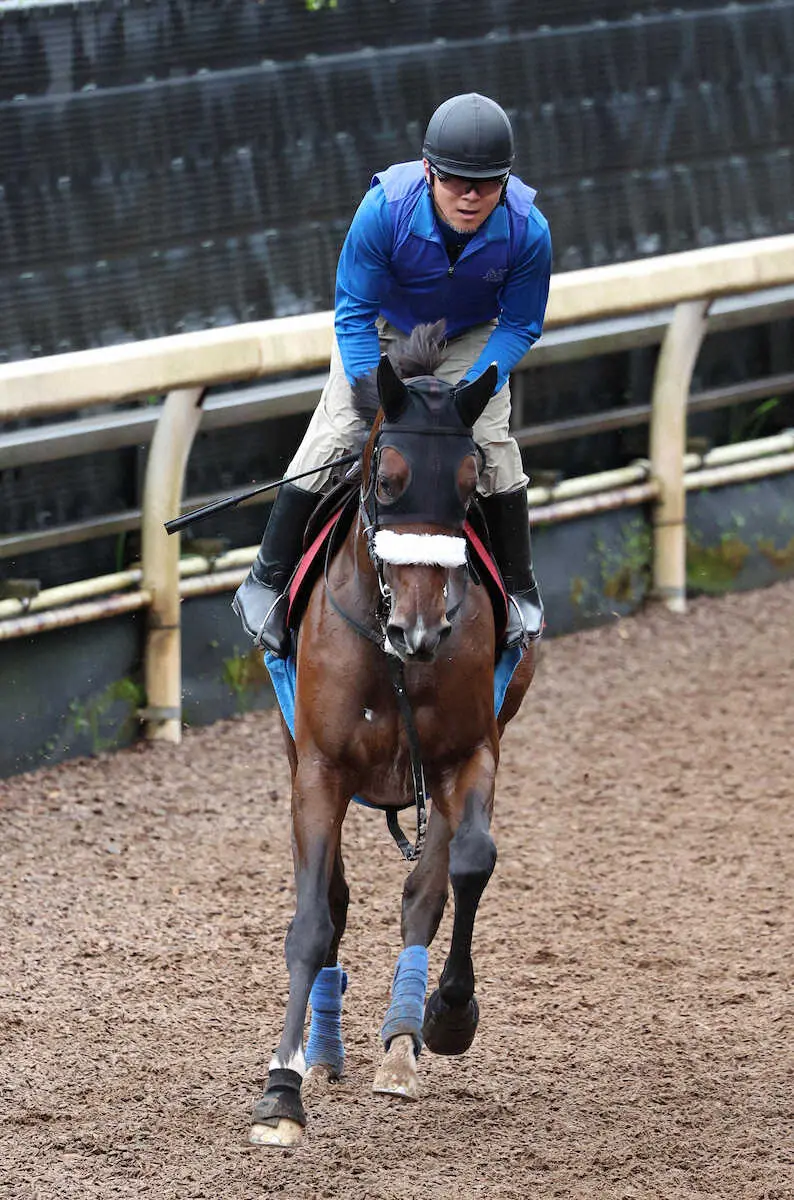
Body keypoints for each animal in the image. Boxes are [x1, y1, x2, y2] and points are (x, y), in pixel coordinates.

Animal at [251, 324, 537, 1147]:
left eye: (472, 488)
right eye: (388, 482)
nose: (422, 629)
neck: (392, 656)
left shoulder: (468, 754)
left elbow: (465, 868)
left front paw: (448, 1016)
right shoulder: (318, 767)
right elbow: (314, 919)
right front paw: (283, 1088)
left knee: (424, 891)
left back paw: (403, 1044)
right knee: (339, 901)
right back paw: (325, 1050)